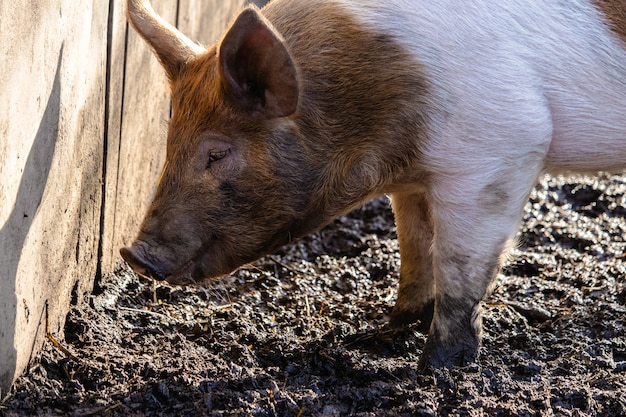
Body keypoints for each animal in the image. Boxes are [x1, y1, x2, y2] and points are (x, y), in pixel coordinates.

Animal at [119, 0, 624, 370]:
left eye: (217, 153)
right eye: (169, 141)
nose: (133, 254)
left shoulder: (502, 149)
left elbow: (459, 264)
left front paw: (436, 368)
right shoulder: (415, 181)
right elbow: (415, 247)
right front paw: (384, 332)